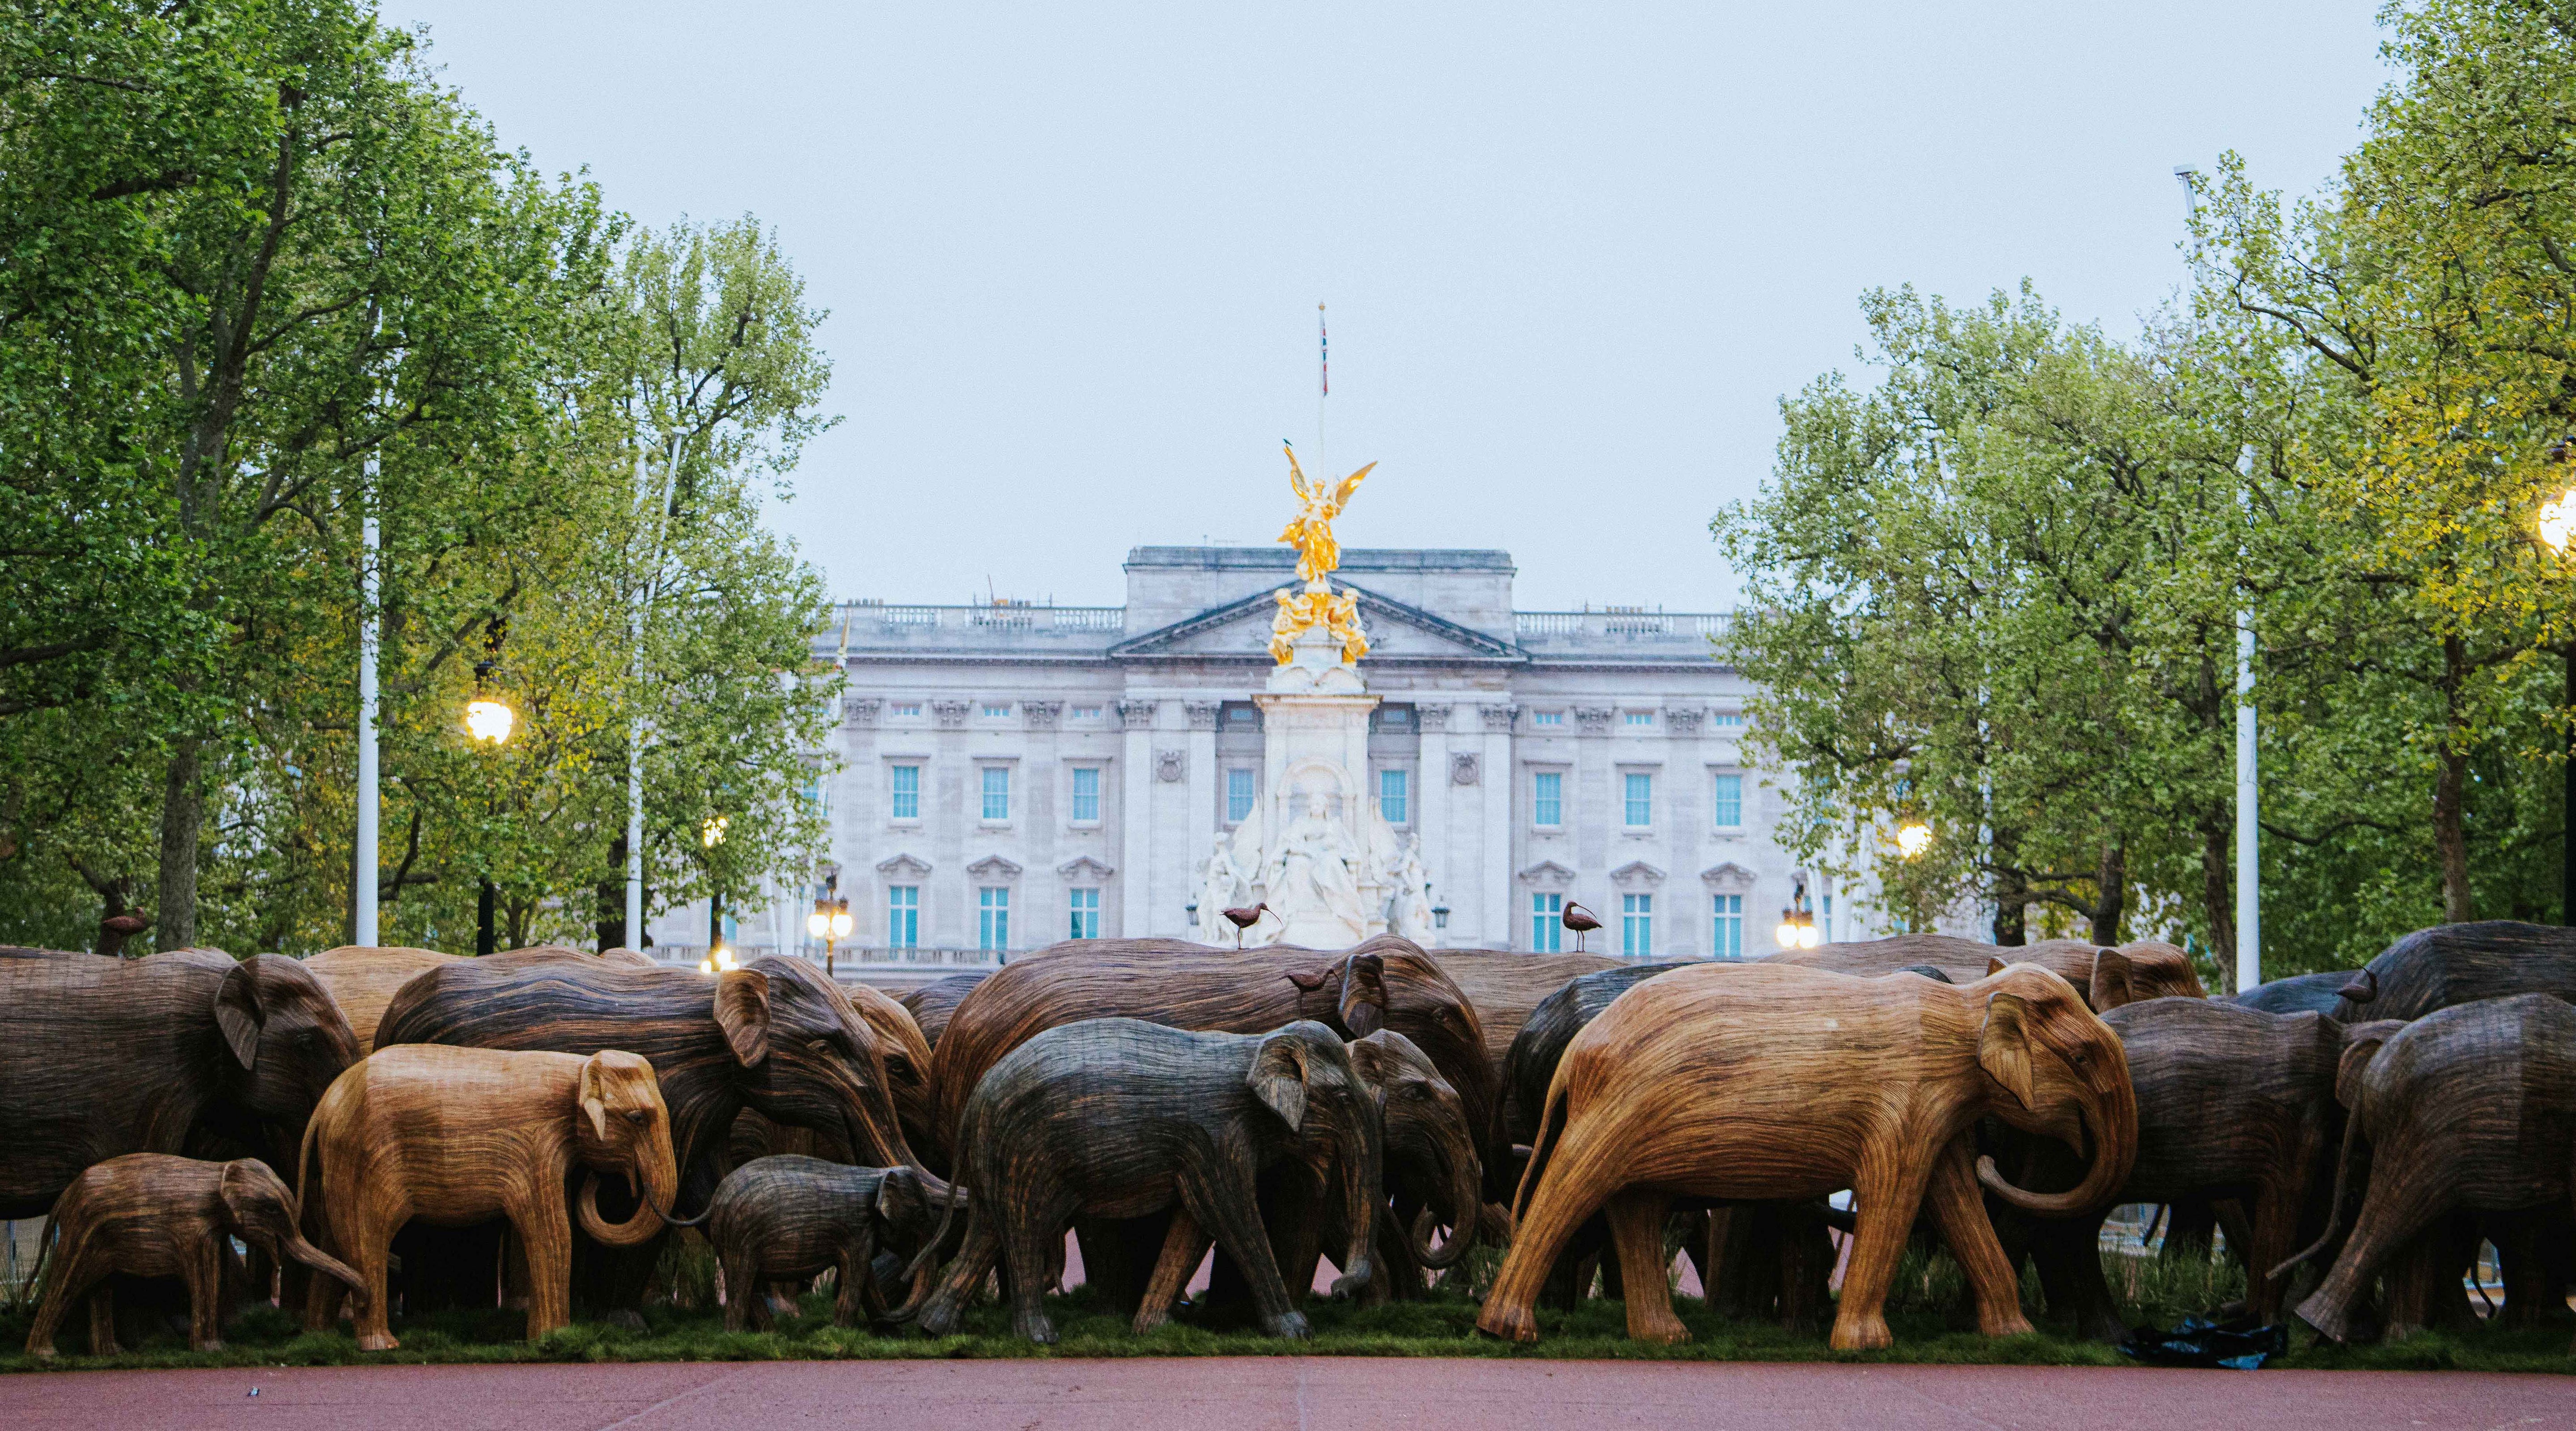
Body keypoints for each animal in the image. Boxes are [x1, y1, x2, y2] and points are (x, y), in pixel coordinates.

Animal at [25, 1154, 368, 1358]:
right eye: (272, 1209)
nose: (365, 1303)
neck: (219, 1171)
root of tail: (64, 1197)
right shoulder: (194, 1226)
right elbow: (205, 1275)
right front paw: (213, 1351)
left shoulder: (214, 1230)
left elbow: (216, 1273)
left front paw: (220, 1346)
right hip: (82, 1231)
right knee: (68, 1281)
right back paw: (45, 1356)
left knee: (101, 1287)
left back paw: (114, 1354)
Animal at [297, 1045, 682, 1349]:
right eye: (637, 1118)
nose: (599, 1180)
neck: (578, 1068)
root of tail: (326, 1102)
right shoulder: (535, 1146)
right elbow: (552, 1231)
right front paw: (553, 1340)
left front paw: (541, 1339)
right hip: (366, 1161)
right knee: (369, 1241)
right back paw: (382, 1346)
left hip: (341, 1166)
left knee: (335, 1243)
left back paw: (319, 1338)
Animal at [704, 1154, 944, 1331]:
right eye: (920, 1213)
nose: (904, 1279)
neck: (878, 1174)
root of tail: (716, 1198)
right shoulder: (857, 1229)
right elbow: (855, 1275)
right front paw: (838, 1333)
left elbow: (865, 1277)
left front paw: (890, 1334)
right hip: (738, 1235)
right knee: (741, 1281)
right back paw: (736, 1335)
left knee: (748, 1284)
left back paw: (769, 1335)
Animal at [915, 1018, 1382, 1346]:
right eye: (1342, 1097)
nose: (1339, 1291)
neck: (1255, 1044)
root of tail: (975, 1099)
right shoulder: (1217, 1136)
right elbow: (1232, 1217)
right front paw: (1297, 1333)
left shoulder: (1205, 1149)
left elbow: (1196, 1224)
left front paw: (1153, 1329)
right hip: (1025, 1153)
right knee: (1024, 1231)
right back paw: (1040, 1338)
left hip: (994, 1158)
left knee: (986, 1230)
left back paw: (933, 1331)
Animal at [1478, 962, 2136, 1351]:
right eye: (2083, 1058)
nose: (1994, 1163)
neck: (1967, 1001)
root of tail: (1576, 1053)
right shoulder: (1905, 1101)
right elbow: (1894, 1196)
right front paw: (1868, 1347)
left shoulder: (1939, 1112)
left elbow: (1956, 1202)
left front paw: (2015, 1339)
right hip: (1617, 1109)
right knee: (1570, 1186)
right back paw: (1508, 1332)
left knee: (1634, 1207)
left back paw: (1666, 1338)